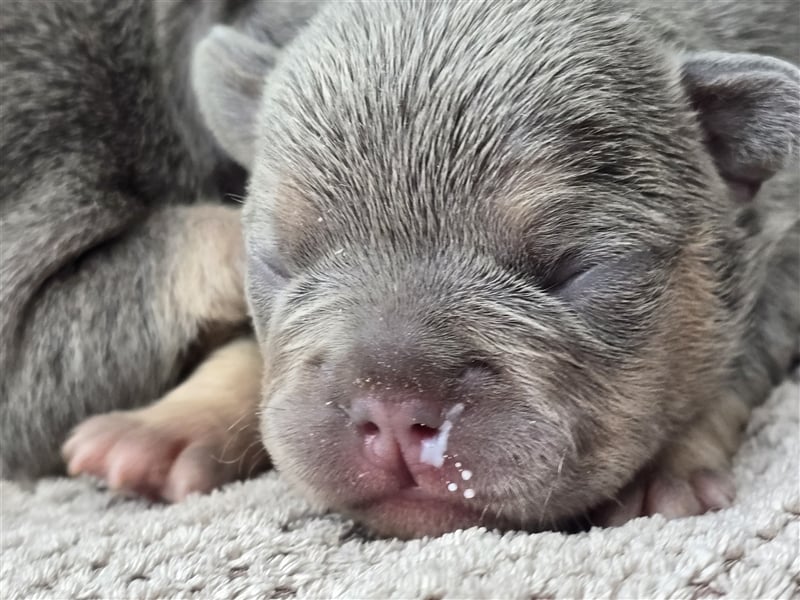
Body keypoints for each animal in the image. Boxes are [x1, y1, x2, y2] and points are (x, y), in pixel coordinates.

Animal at [65, 0, 796, 540]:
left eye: (574, 269)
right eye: (280, 261)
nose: (394, 413)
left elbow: (735, 358)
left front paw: (666, 464)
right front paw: (166, 424)